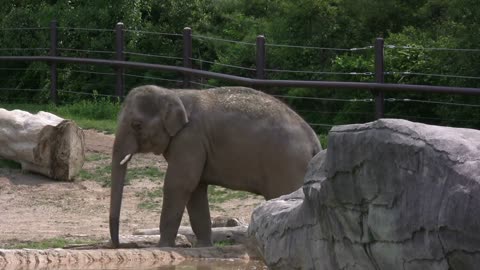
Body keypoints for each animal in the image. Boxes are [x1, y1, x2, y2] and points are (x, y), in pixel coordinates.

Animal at [108, 85, 318, 248]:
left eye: (137, 125)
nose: (116, 245)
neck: (174, 93)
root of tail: (314, 143)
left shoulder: (189, 138)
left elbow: (179, 184)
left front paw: (163, 247)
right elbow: (196, 189)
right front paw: (203, 247)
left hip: (286, 165)